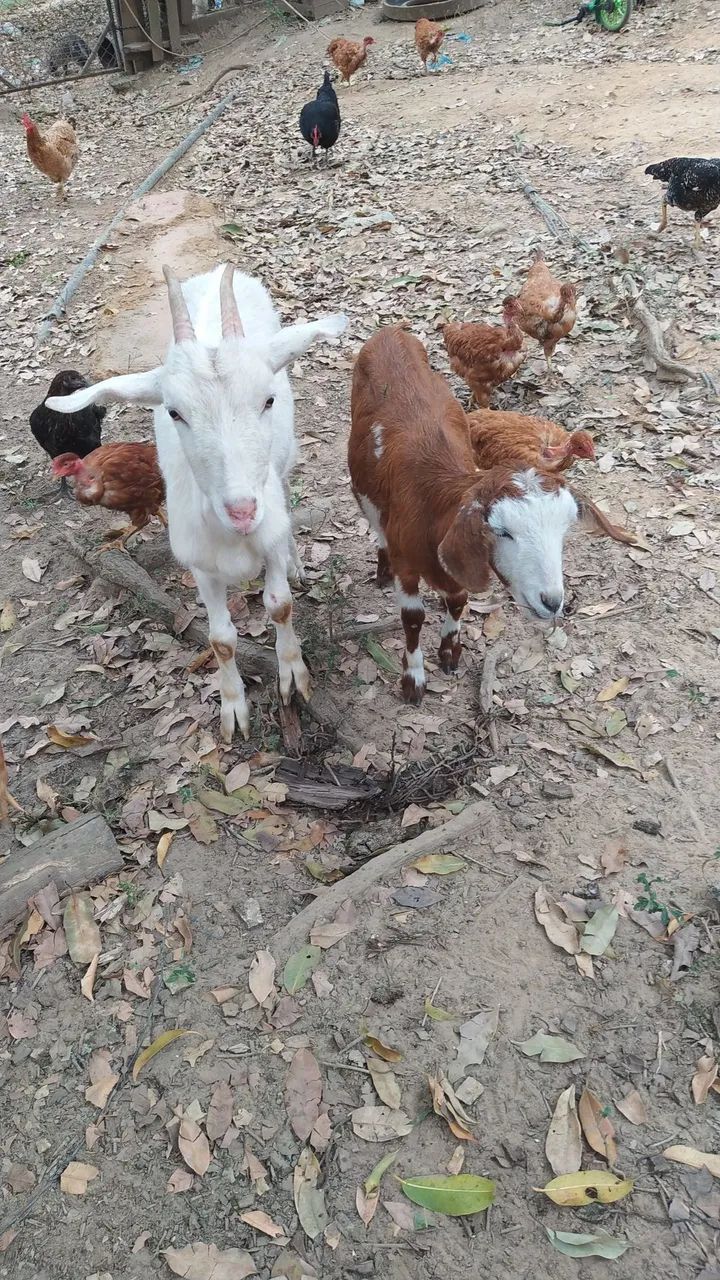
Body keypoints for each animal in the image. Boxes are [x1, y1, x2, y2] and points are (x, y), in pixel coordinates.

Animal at [47, 263, 347, 740]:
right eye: (174, 412)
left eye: (268, 399)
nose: (242, 511)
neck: (236, 538)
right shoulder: (201, 564)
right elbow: (221, 640)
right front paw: (233, 710)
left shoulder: (269, 534)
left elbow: (279, 604)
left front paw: (292, 677)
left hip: (283, 468)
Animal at [349, 326, 632, 704]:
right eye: (503, 532)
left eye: (564, 530)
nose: (552, 602)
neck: (432, 501)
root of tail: (391, 332)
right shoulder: (407, 563)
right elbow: (412, 618)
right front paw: (413, 680)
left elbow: (458, 601)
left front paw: (450, 652)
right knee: (374, 521)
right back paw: (382, 568)